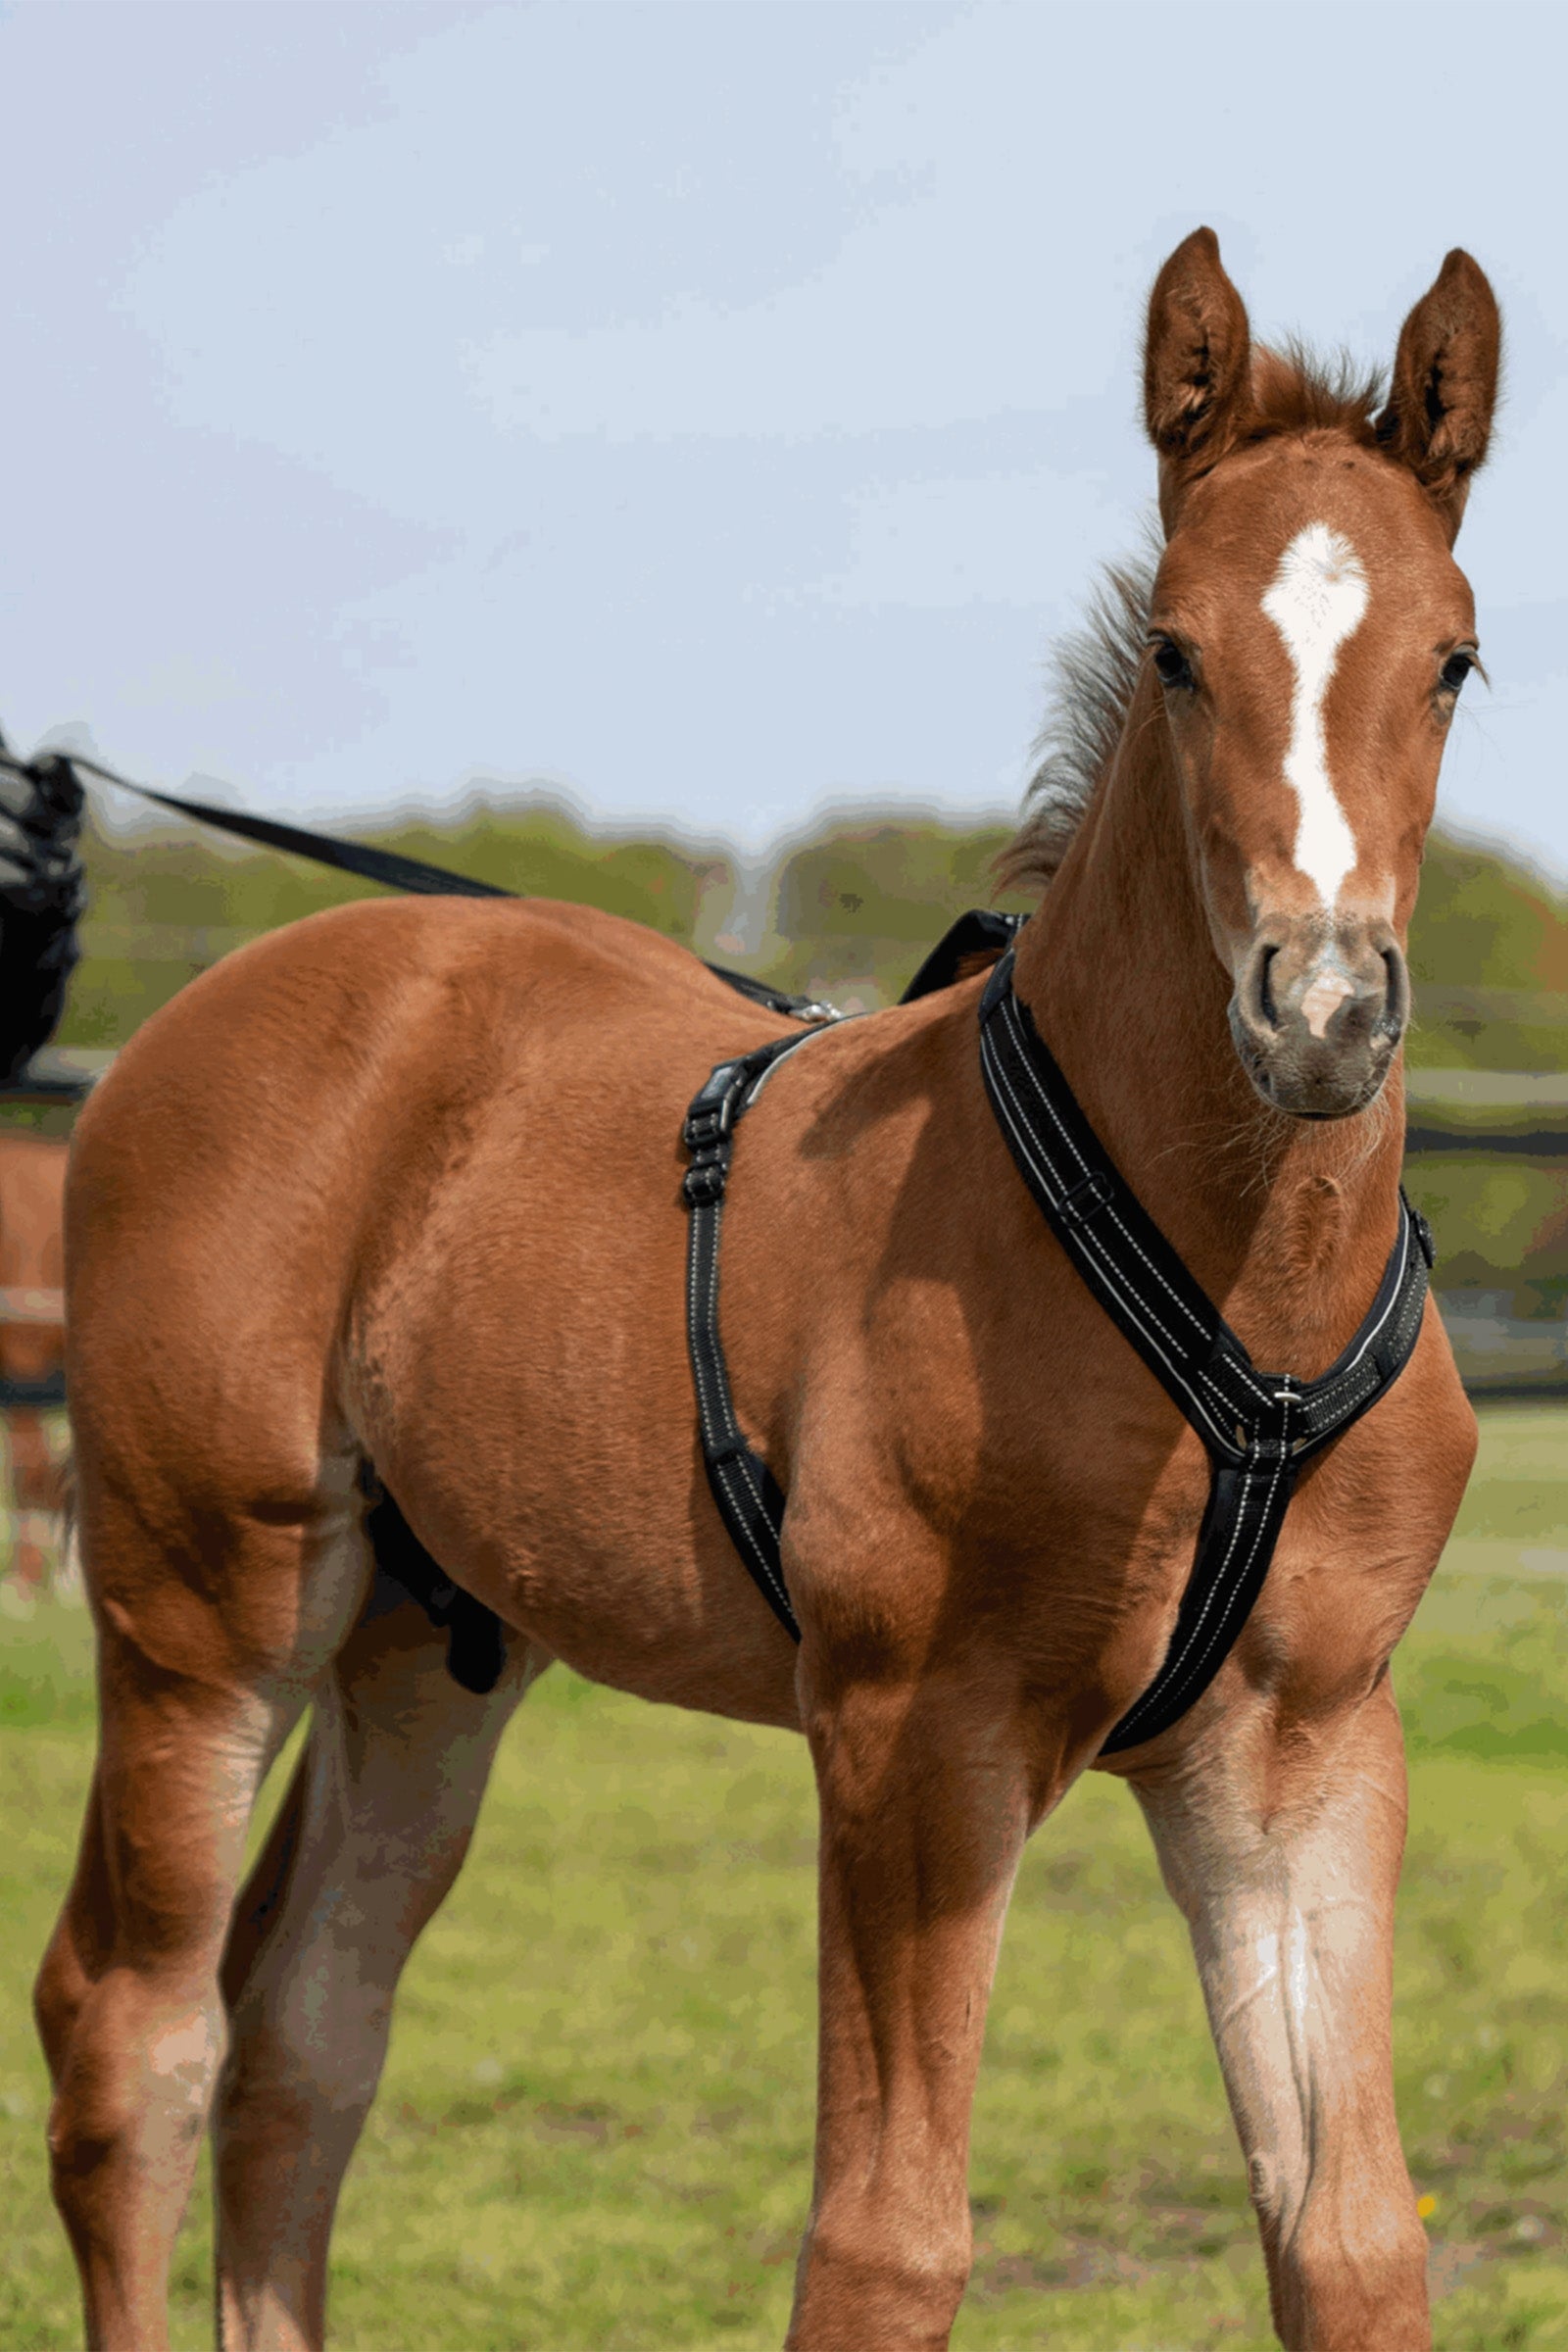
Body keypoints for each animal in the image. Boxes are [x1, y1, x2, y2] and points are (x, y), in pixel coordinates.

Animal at [36, 227, 1499, 2352]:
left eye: (1453, 658)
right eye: (1175, 651)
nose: (1317, 1012)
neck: (1241, 1309)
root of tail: (202, 1017)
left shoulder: (1305, 1746)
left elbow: (1351, 2238)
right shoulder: (910, 1738)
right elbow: (885, 2244)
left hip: (425, 1641)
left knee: (300, 2032)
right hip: (203, 1608)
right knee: (133, 2038)